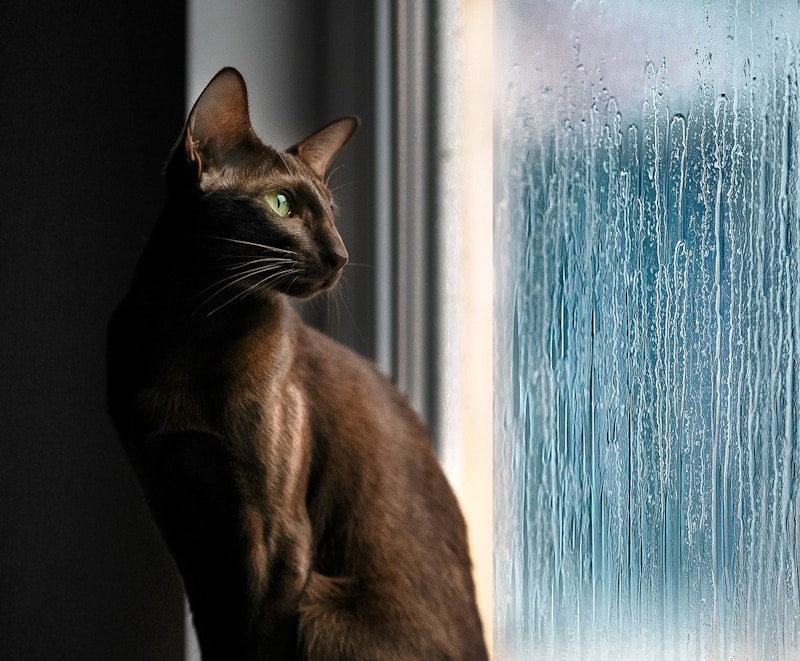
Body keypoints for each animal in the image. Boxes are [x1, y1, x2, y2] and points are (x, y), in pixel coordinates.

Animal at [106, 68, 488, 660]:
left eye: (331, 213)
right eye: (282, 204)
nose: (341, 256)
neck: (190, 333)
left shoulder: (274, 532)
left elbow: (256, 639)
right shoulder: (179, 515)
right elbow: (219, 634)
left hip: (320, 609)